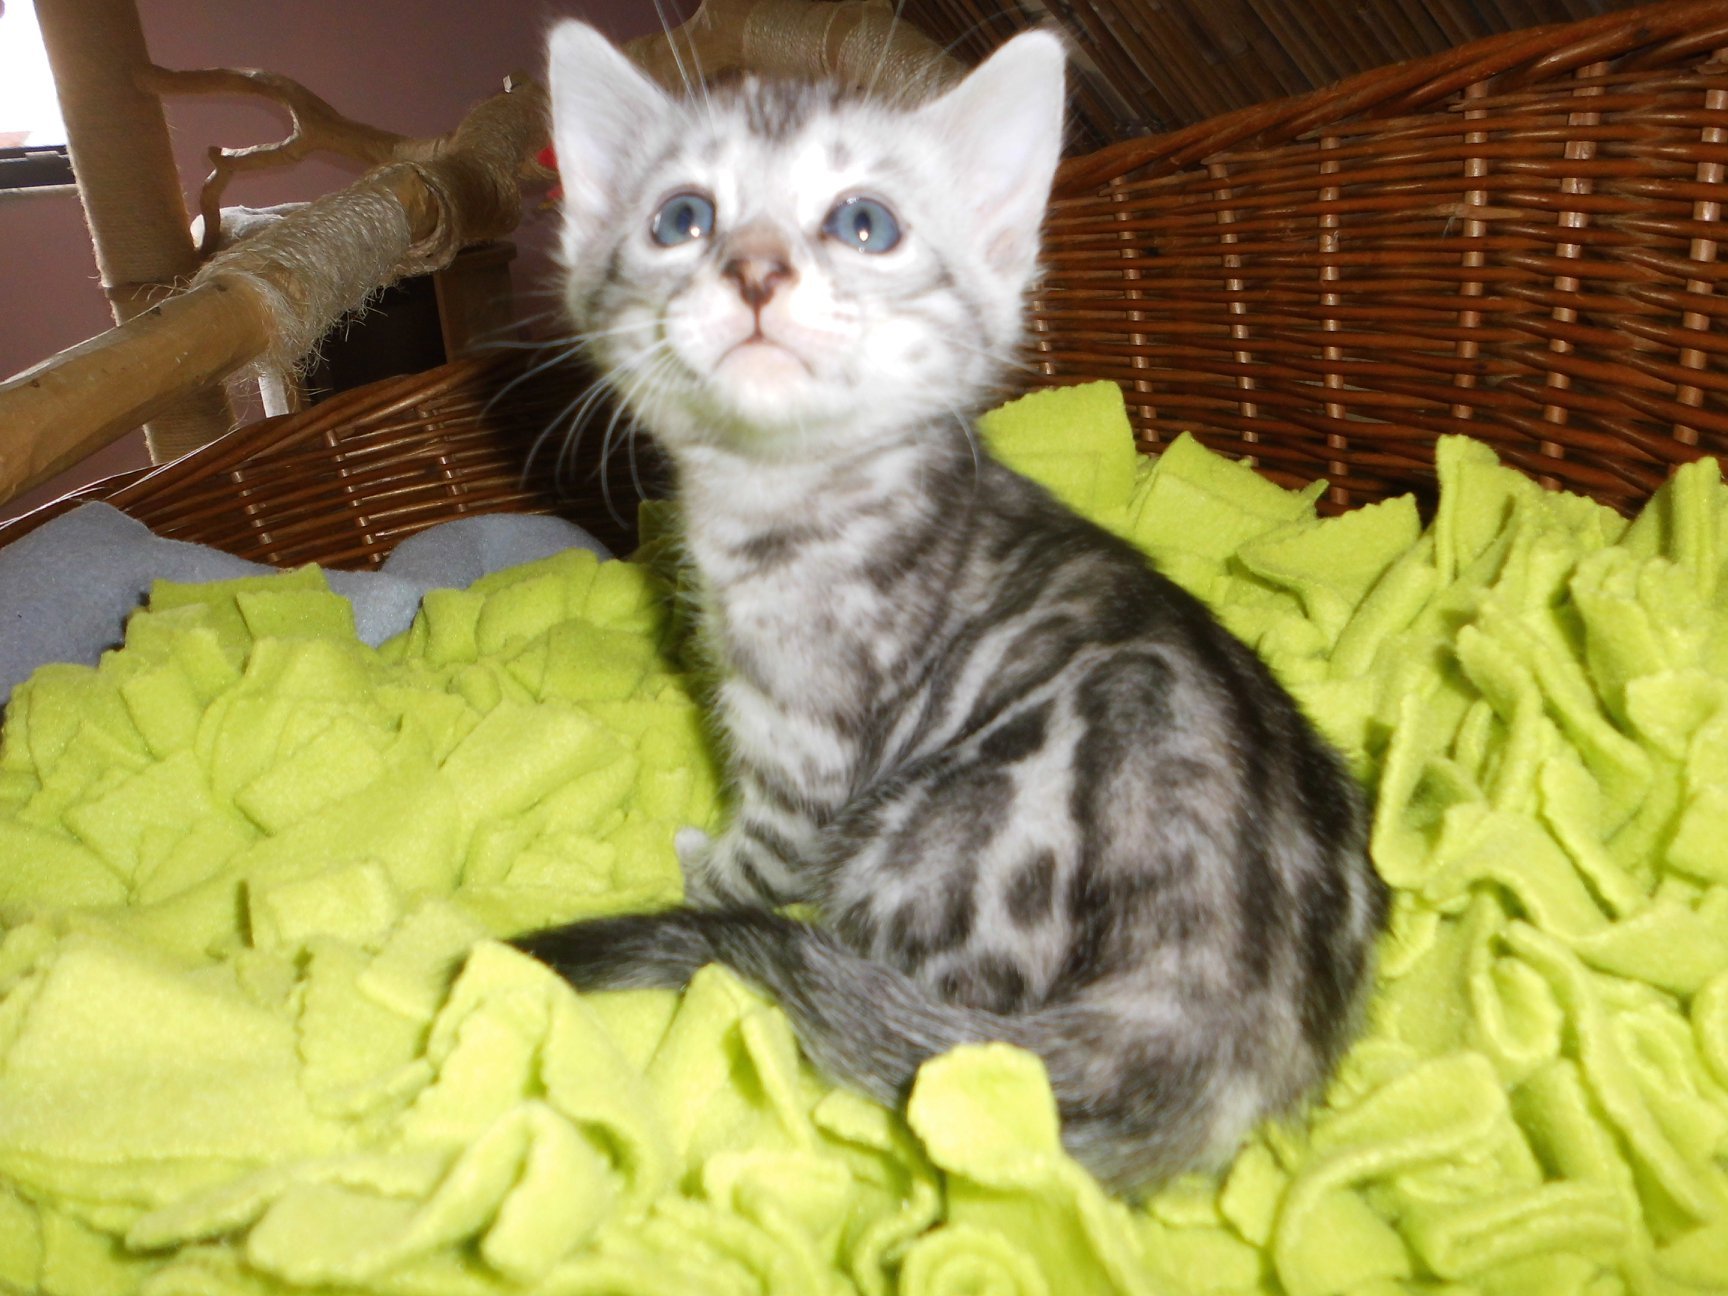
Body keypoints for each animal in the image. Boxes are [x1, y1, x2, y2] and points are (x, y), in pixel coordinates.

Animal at [515, 18, 1390, 1193]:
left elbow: (755, 863)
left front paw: (700, 866)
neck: (791, 497)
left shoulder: (809, 749)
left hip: (933, 847)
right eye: (681, 218)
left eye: (864, 224)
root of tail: (1215, 1017)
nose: (755, 269)